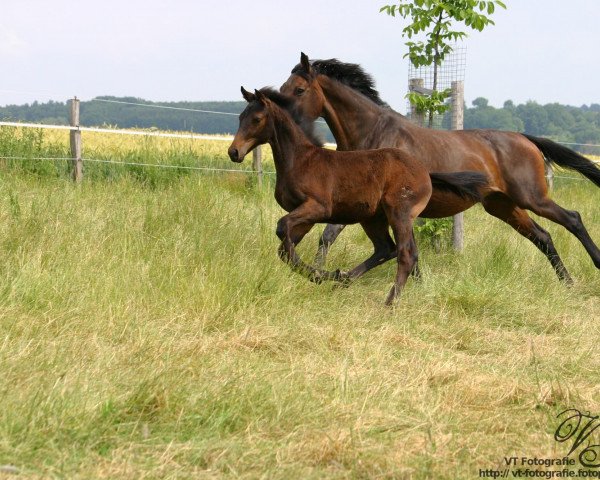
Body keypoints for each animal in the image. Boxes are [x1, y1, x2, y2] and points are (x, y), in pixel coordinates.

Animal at [229, 86, 488, 304]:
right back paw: (342, 279)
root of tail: (425, 172)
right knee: (386, 249)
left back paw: (389, 303)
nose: (234, 152)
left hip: (399, 214)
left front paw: (321, 274)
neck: (300, 160)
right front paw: (324, 275)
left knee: (405, 254)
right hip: (373, 218)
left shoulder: (318, 207)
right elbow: (285, 249)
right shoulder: (305, 216)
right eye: (240, 117)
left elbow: (282, 228)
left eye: (257, 119)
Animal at [282, 52, 600, 284]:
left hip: (531, 197)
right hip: (503, 205)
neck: (374, 135)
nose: (284, 122)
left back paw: (591, 266)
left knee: (572, 219)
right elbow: (330, 236)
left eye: (299, 90)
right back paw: (567, 281)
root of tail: (525, 138)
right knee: (543, 237)